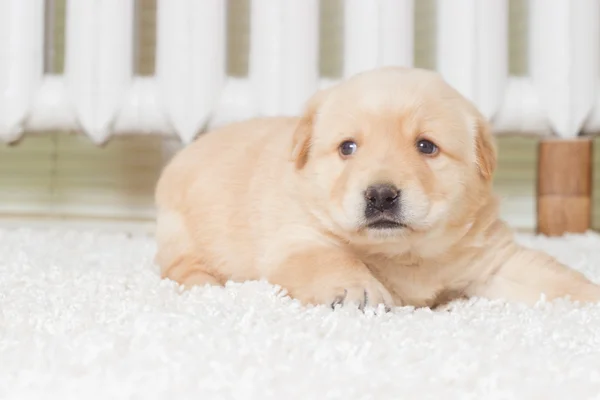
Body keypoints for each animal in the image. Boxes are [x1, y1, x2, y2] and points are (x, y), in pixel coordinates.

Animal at [155, 66, 600, 310]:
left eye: (426, 146)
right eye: (347, 148)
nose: (381, 195)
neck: (404, 253)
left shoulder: (492, 259)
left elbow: (552, 278)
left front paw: (590, 297)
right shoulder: (299, 237)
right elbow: (331, 259)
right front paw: (358, 290)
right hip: (180, 230)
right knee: (178, 268)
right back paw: (209, 286)